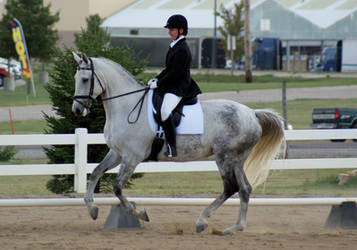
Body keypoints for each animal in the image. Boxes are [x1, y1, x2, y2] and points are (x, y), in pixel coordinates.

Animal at [71, 52, 284, 234]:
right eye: (75, 78)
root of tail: (252, 114)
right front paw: (92, 209)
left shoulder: (132, 156)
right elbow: (96, 172)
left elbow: (117, 187)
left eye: (85, 80)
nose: (77, 110)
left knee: (230, 187)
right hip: (237, 159)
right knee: (244, 189)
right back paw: (235, 227)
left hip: (225, 157)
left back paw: (202, 221)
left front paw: (140, 213)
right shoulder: (117, 153)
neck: (126, 106)